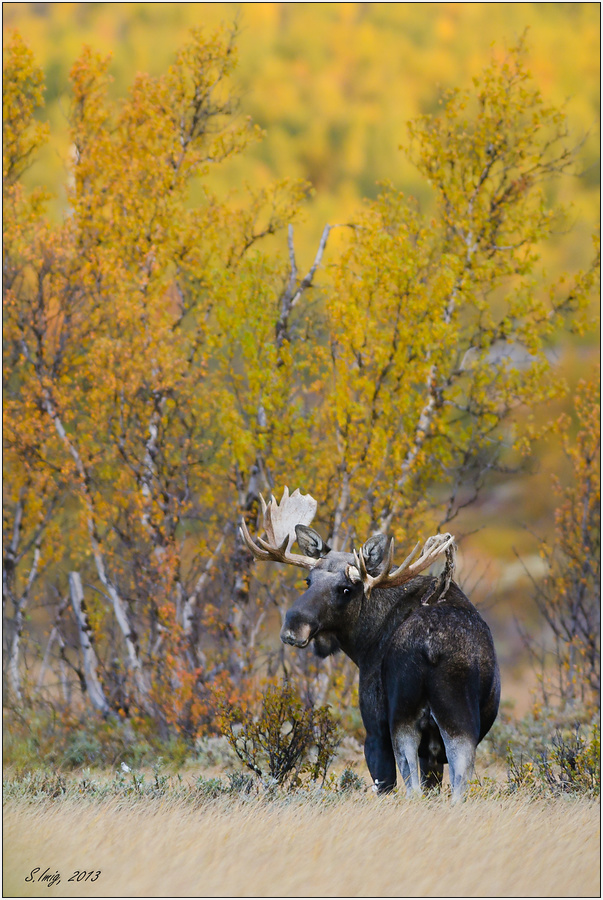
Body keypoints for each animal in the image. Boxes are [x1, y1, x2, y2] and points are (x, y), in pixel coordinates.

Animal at [241, 488, 500, 800]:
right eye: (308, 580)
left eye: (345, 589)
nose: (293, 627)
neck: (363, 643)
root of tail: (431, 648)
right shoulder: (434, 750)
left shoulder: (374, 724)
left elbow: (384, 783)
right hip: (459, 724)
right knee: (457, 785)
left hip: (402, 720)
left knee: (410, 785)